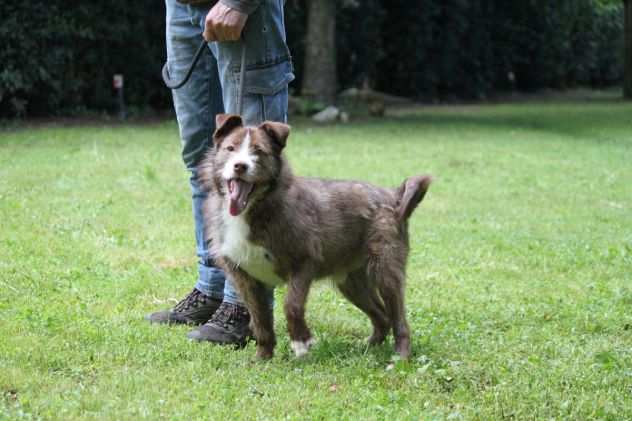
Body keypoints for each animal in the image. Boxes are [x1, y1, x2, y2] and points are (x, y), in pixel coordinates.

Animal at [200, 112, 432, 358]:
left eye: (259, 151)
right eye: (230, 148)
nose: (240, 166)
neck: (256, 207)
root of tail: (393, 196)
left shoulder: (303, 263)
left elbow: (291, 305)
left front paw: (301, 342)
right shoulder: (244, 277)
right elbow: (260, 320)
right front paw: (263, 357)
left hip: (386, 270)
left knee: (398, 317)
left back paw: (400, 355)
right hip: (351, 282)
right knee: (381, 315)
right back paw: (369, 347)